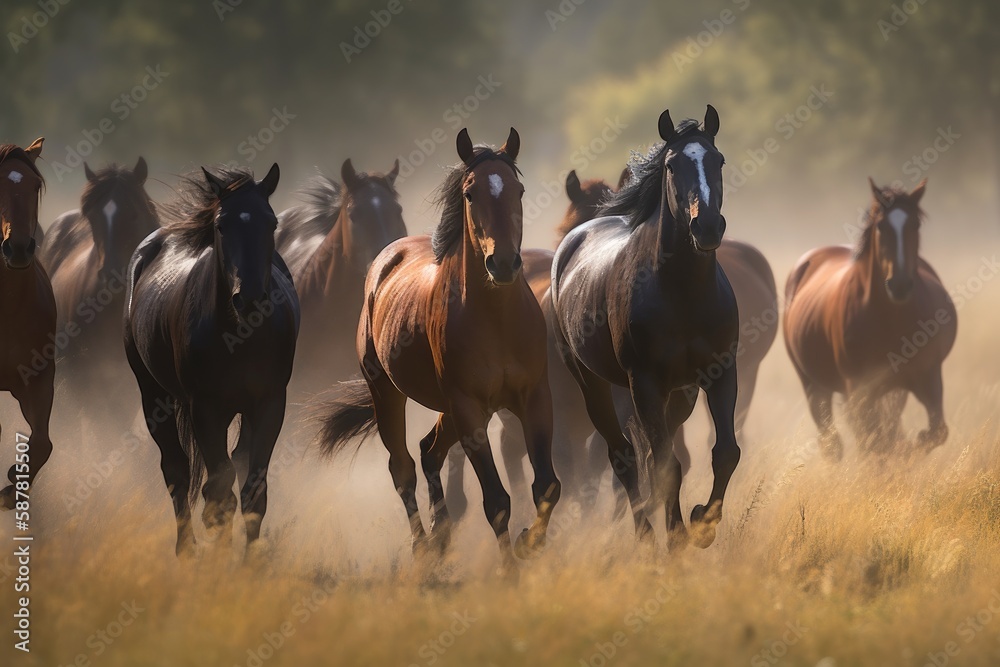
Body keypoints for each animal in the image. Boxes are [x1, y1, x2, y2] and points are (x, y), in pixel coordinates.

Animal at [124, 165, 299, 556]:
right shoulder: (205, 408)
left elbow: (252, 490)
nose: (250, 298)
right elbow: (219, 493)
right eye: (221, 225)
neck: (240, 336)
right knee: (177, 471)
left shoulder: (269, 403)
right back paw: (186, 551)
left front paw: (249, 562)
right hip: (152, 394)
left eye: (271, 223)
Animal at [317, 128, 560, 575]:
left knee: (429, 451)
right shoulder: (469, 410)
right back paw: (423, 547)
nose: (502, 263)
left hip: (453, 409)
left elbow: (548, 486)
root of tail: (384, 261)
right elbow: (497, 500)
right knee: (403, 468)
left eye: (518, 190)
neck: (496, 318)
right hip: (389, 395)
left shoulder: (534, 399)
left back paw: (441, 535)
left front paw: (530, 543)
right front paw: (511, 570)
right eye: (470, 193)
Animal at [551, 106, 740, 549]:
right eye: (672, 165)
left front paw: (702, 522)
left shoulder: (721, 373)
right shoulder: (646, 382)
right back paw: (645, 535)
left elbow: (725, 452)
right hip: (593, 383)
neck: (683, 293)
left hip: (680, 394)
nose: (707, 227)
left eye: (718, 161)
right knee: (622, 457)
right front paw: (676, 535)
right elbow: (665, 463)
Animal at [783, 178, 956, 458]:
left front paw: (910, 449)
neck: (890, 317)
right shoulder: (860, 389)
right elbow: (873, 444)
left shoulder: (929, 378)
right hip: (813, 385)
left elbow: (936, 432)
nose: (899, 285)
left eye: (915, 224)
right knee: (833, 442)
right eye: (881, 226)